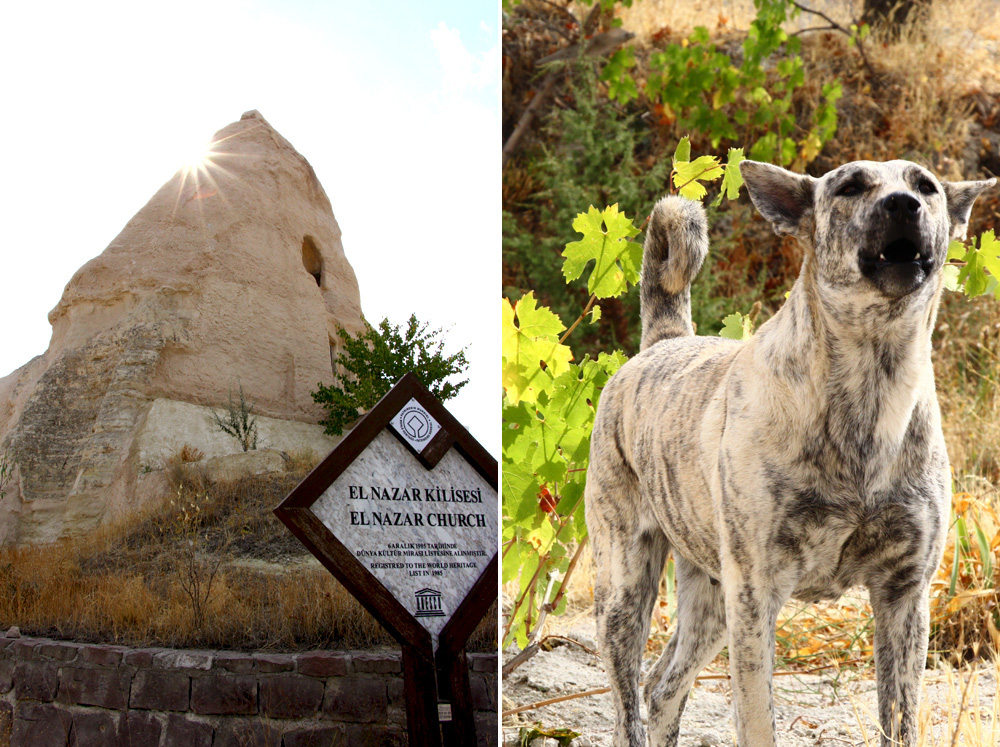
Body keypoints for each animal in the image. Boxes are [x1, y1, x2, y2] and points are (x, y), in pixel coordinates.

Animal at [584, 159, 992, 747]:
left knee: (662, 688)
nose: (902, 205)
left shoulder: (903, 597)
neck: (872, 383)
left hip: (711, 602)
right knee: (627, 706)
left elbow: (899, 720)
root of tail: (663, 342)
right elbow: (758, 720)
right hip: (626, 587)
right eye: (850, 186)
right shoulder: (756, 598)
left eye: (925, 186)